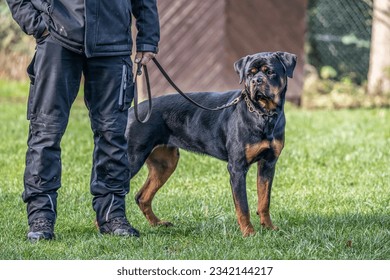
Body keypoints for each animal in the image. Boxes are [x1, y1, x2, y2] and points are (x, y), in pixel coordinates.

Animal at [125, 50, 296, 236]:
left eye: (269, 71)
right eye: (249, 74)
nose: (255, 81)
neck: (263, 114)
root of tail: (131, 112)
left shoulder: (268, 163)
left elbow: (264, 200)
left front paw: (269, 228)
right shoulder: (237, 167)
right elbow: (243, 205)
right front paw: (248, 233)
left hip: (165, 163)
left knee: (142, 196)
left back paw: (158, 223)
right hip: (133, 159)